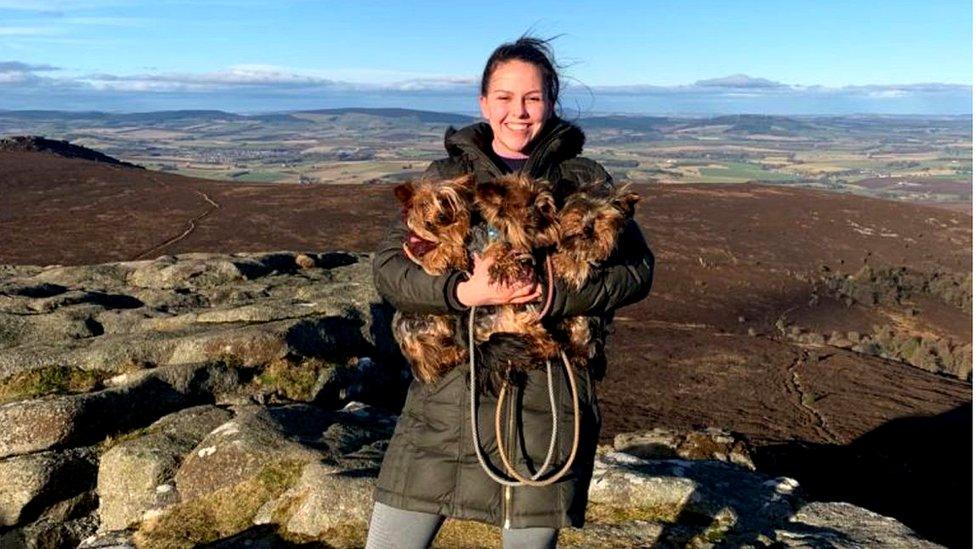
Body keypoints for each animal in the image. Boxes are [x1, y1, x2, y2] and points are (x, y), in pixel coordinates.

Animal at [392, 176, 476, 382]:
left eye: (445, 201)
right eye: (423, 204)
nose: (441, 216)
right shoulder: (429, 261)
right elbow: (443, 250)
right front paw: (456, 252)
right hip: (427, 334)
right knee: (434, 359)